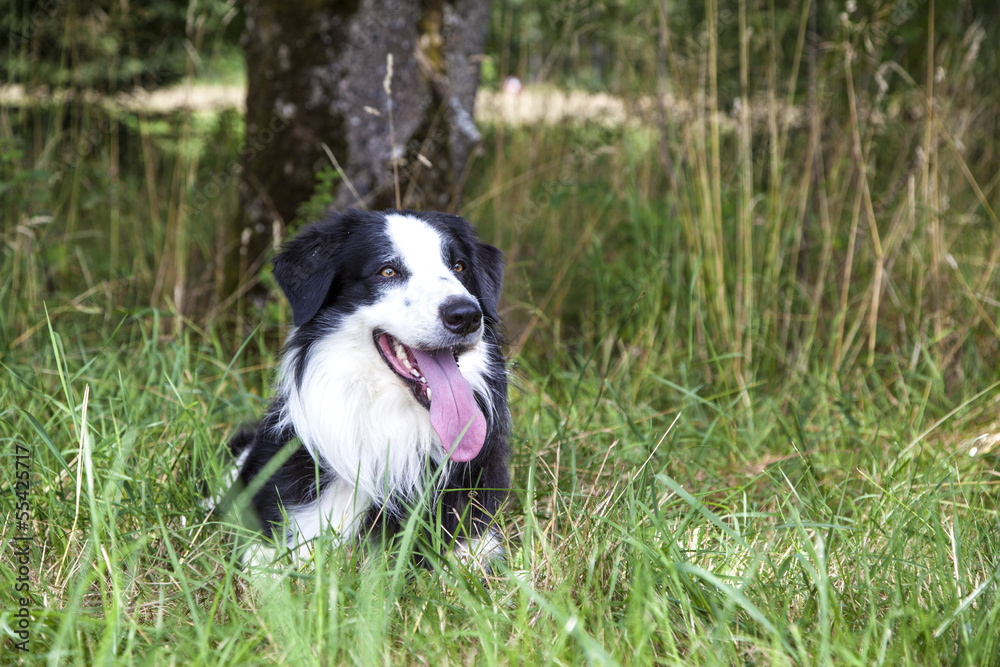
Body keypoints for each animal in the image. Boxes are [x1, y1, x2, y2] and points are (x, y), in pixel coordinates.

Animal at [230, 209, 512, 568]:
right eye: (387, 271)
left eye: (459, 266)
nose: (465, 315)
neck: (393, 426)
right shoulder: (278, 544)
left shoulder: (476, 545)